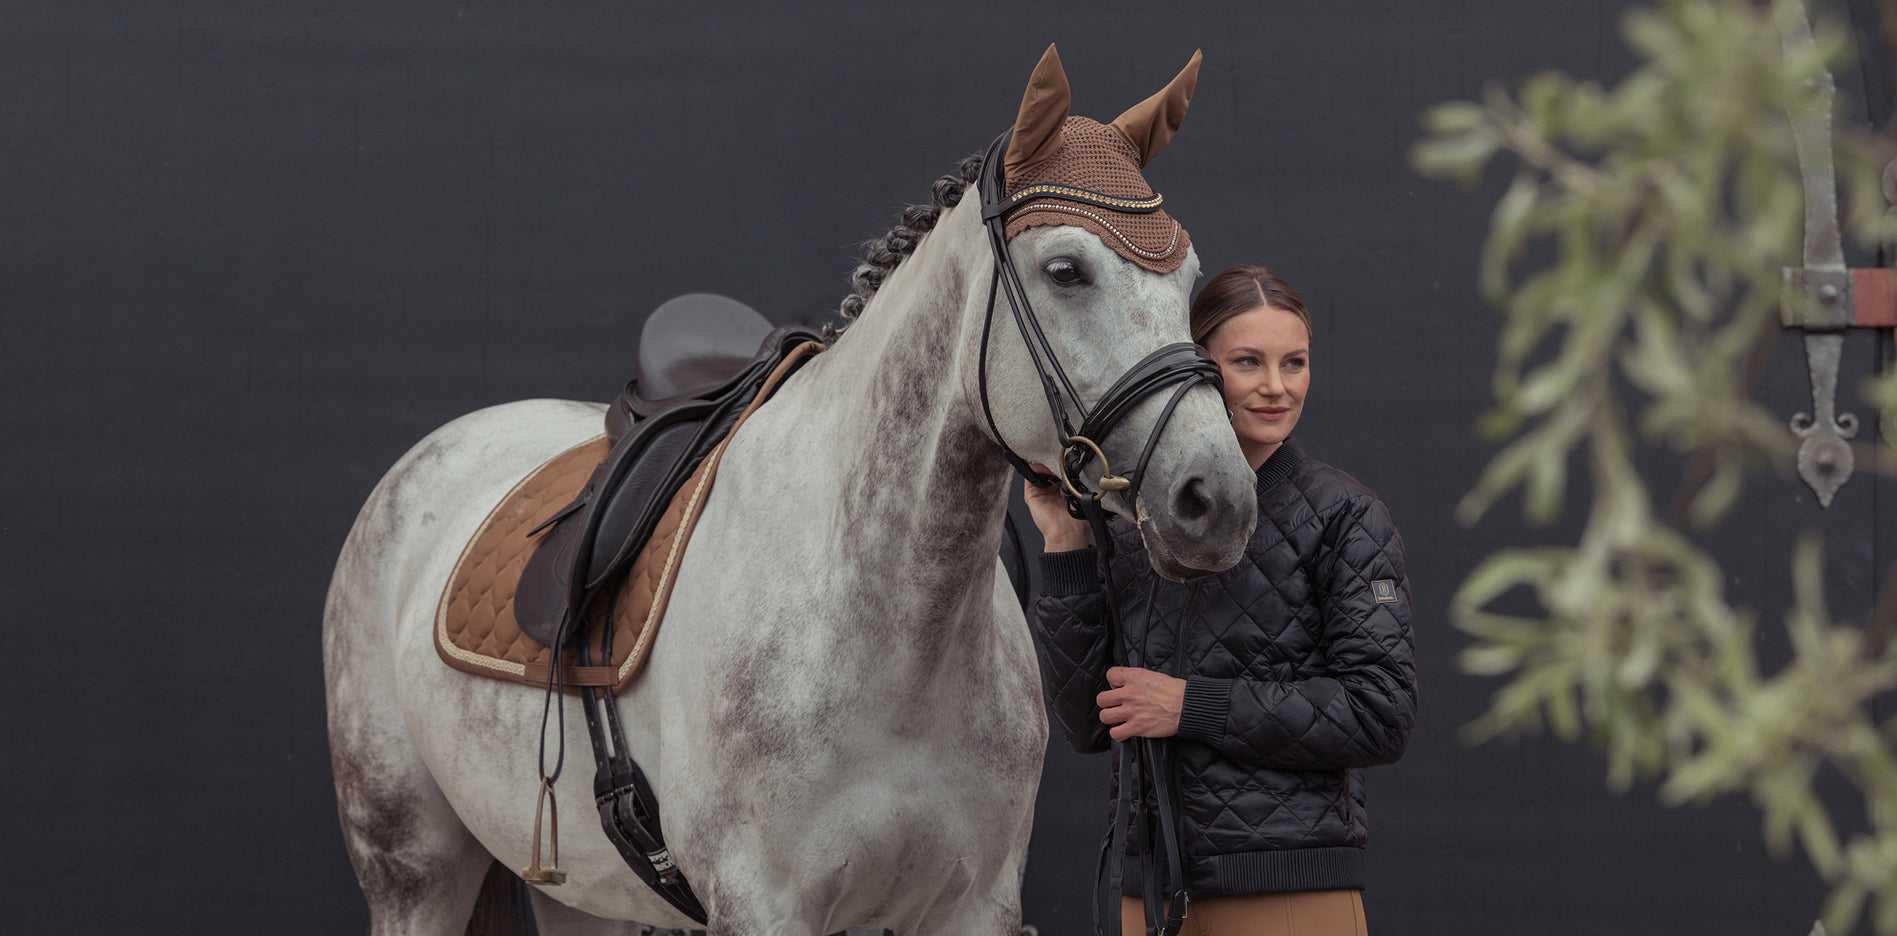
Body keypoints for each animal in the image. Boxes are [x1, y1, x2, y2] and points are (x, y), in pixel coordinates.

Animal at [322, 45, 1258, 936]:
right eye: (1065, 269)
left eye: (1189, 279)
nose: (1217, 500)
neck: (891, 639)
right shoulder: (763, 906)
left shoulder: (972, 906)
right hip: (411, 870)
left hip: (579, 896)